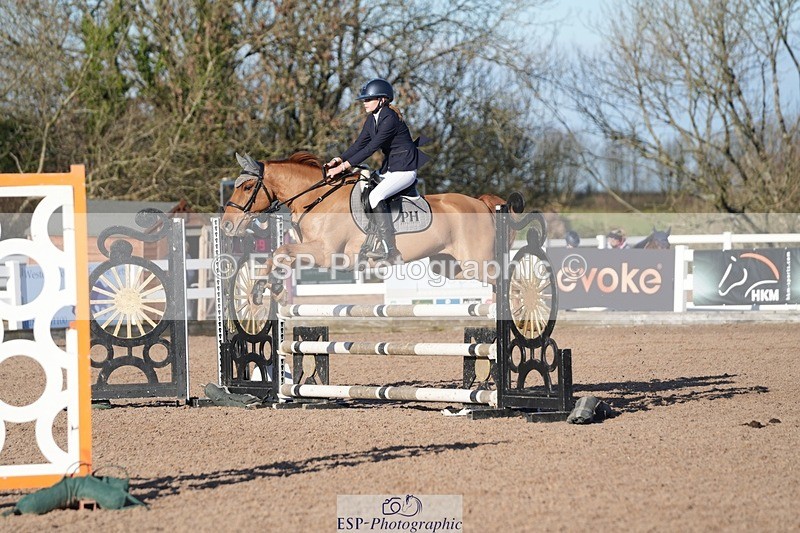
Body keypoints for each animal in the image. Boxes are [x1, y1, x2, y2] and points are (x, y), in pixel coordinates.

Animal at [220, 152, 511, 286]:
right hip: (451, 266)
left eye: (248, 187)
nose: (226, 224)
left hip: (480, 263)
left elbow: (282, 250)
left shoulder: (327, 254)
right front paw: (264, 286)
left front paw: (260, 287)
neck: (319, 199)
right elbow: (279, 254)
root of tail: (481, 203)